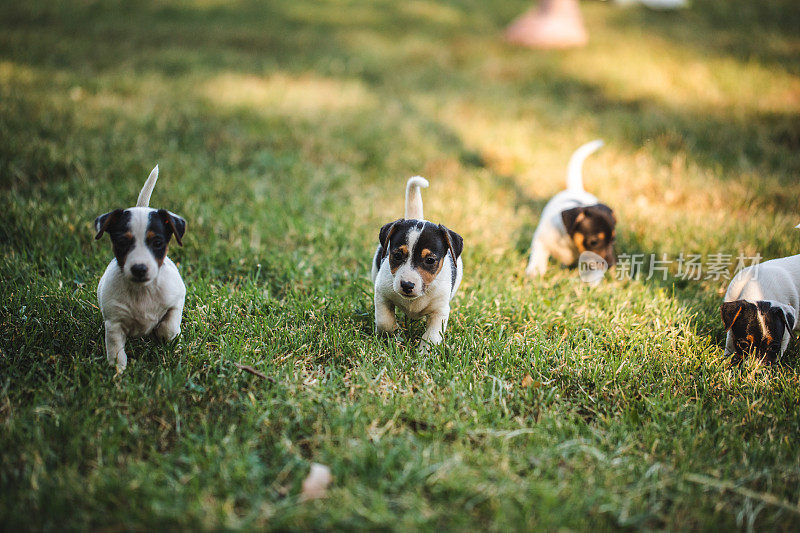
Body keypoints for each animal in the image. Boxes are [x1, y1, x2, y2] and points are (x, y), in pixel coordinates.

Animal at [94, 164, 187, 372]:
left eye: (157, 242)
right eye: (122, 242)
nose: (139, 268)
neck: (142, 291)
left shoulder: (177, 298)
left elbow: (169, 325)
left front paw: (163, 335)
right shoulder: (114, 323)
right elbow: (116, 351)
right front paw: (117, 371)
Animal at [372, 177, 466, 352]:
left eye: (430, 260)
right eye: (397, 255)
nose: (407, 285)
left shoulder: (440, 311)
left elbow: (431, 336)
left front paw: (423, 354)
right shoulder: (382, 295)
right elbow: (384, 321)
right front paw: (393, 335)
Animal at [524, 139, 620, 276]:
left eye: (613, 239)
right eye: (594, 241)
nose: (611, 265)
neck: (569, 243)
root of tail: (576, 189)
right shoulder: (541, 239)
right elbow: (539, 254)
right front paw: (535, 270)